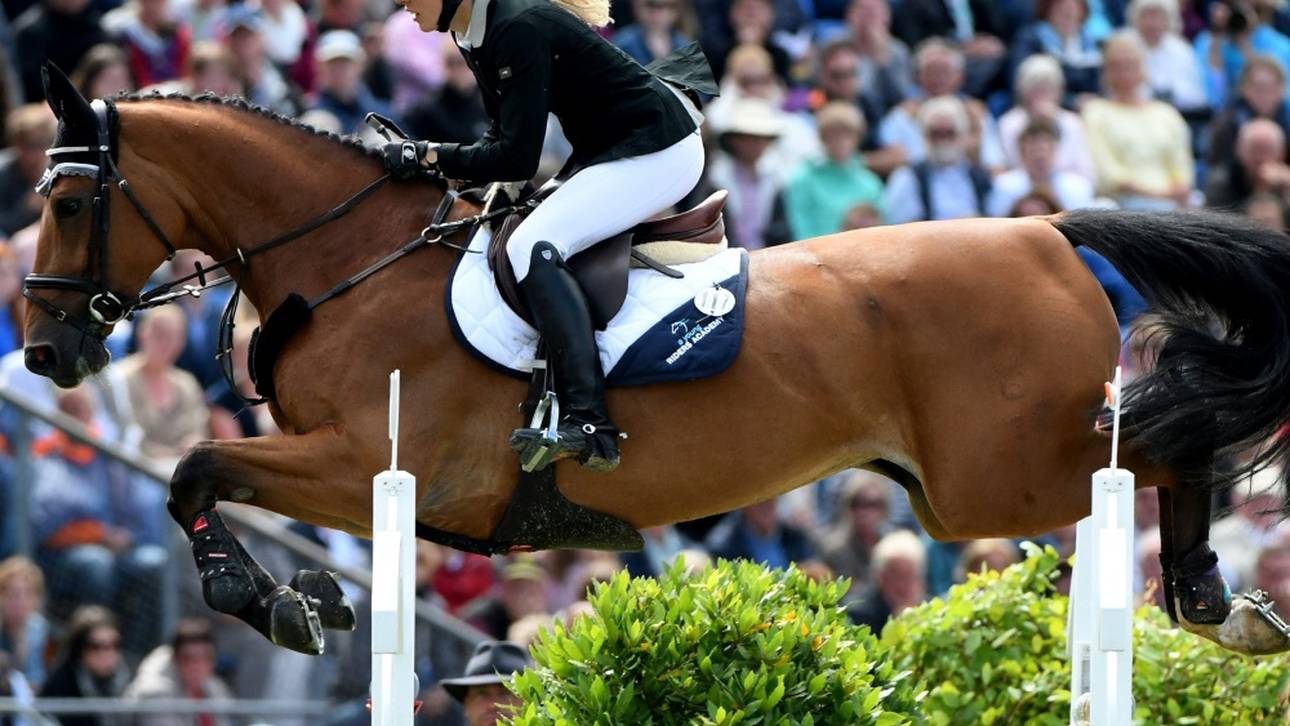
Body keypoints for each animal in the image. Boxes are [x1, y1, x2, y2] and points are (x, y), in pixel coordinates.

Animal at [25, 65, 1290, 658]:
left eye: (74, 201)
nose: (43, 349)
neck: (345, 262)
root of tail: (1049, 230)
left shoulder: (376, 467)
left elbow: (194, 466)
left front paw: (273, 601)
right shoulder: (360, 477)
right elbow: (205, 473)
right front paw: (307, 597)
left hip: (1003, 477)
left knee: (1169, 443)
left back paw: (1215, 600)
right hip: (968, 489)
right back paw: (1212, 602)